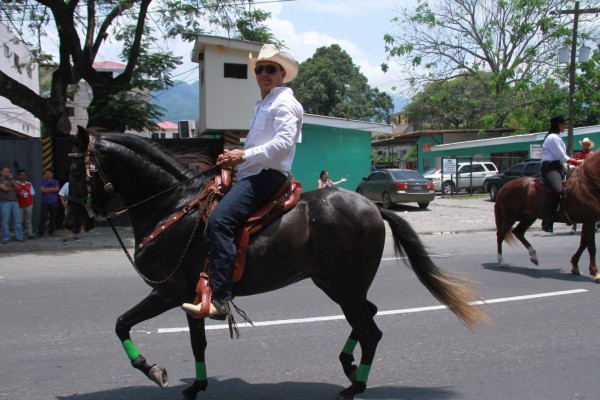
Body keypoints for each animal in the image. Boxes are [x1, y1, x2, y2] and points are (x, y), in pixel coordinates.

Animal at [67, 126, 488, 398]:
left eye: (78, 170)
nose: (71, 221)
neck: (172, 205)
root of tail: (372, 206)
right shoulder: (190, 298)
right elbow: (197, 343)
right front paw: (197, 386)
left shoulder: (168, 292)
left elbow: (121, 324)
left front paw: (153, 370)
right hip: (333, 283)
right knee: (366, 317)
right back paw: (348, 364)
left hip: (346, 285)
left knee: (370, 329)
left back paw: (356, 384)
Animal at [494, 150, 600, 282]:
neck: (586, 185)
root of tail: (505, 187)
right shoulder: (589, 220)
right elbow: (591, 246)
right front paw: (595, 273)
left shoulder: (588, 221)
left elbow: (584, 243)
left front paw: (575, 266)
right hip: (510, 216)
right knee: (501, 235)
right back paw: (502, 261)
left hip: (529, 216)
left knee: (518, 232)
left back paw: (533, 256)